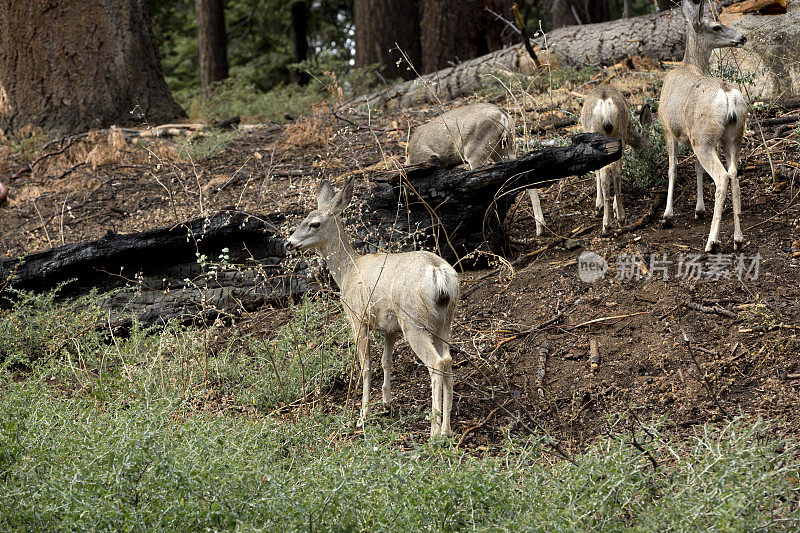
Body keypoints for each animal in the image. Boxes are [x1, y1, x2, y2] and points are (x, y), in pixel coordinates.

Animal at [288, 178, 462, 436]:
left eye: (314, 223)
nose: (289, 243)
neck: (347, 270)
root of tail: (437, 272)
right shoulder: (390, 328)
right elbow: (386, 362)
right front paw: (386, 404)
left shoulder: (357, 318)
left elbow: (366, 366)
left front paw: (363, 415)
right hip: (444, 320)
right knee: (448, 360)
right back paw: (447, 431)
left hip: (413, 321)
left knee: (436, 363)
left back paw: (434, 431)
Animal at [580, 85, 652, 235]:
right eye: (650, 145)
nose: (649, 160)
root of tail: (606, 108)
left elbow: (597, 172)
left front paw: (599, 206)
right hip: (618, 135)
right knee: (617, 171)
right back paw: (620, 217)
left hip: (599, 136)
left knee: (606, 172)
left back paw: (608, 224)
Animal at [660, 0, 748, 252]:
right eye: (717, 26)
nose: (742, 37)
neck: (689, 65)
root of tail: (728, 94)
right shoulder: (694, 136)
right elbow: (697, 168)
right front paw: (699, 209)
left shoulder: (668, 129)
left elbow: (672, 169)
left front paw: (667, 215)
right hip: (731, 135)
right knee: (734, 174)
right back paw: (738, 239)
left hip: (704, 137)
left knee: (722, 177)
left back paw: (712, 242)